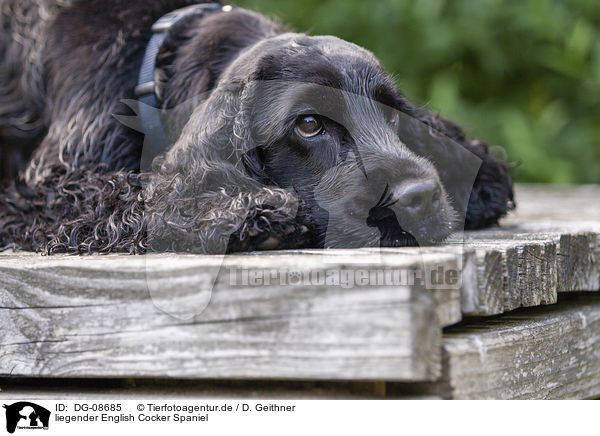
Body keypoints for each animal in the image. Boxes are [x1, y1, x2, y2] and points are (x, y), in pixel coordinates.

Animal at [0, 0, 516, 254]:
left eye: (392, 114)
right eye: (308, 124)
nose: (420, 198)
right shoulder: (44, 191)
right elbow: (124, 192)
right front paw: (254, 213)